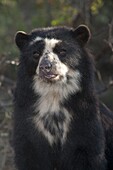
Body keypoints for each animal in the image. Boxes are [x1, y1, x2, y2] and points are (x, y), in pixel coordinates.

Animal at [12, 24, 113, 169]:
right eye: (36, 54)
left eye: (62, 51)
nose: (46, 67)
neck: (53, 94)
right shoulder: (28, 124)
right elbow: (30, 156)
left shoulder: (85, 121)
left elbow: (89, 156)